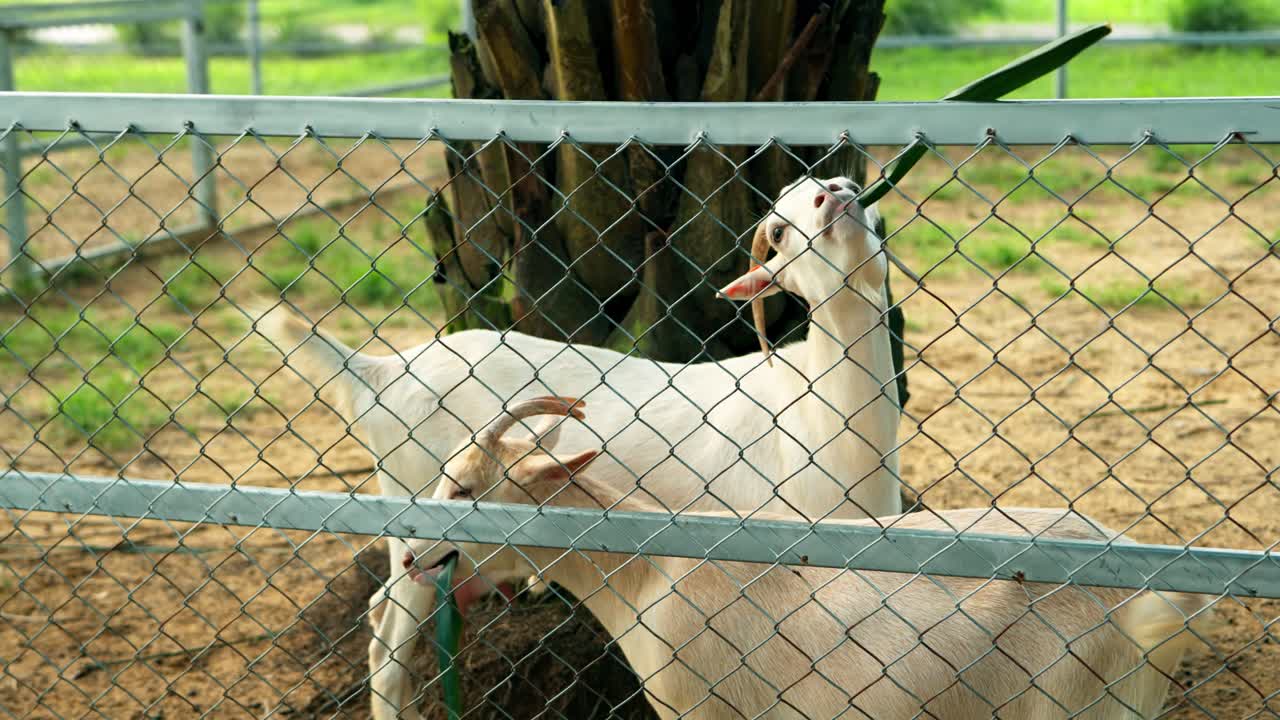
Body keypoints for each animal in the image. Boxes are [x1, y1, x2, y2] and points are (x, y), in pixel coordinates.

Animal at [255, 176, 904, 719]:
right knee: (387, 641)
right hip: (418, 524)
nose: (834, 197)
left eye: (858, 197)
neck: (814, 418)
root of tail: (381, 370)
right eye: (779, 229)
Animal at [406, 397, 1211, 720]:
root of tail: (1152, 599)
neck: (646, 573)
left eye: (465, 486)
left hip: (1072, 703)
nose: (412, 554)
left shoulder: (702, 707)